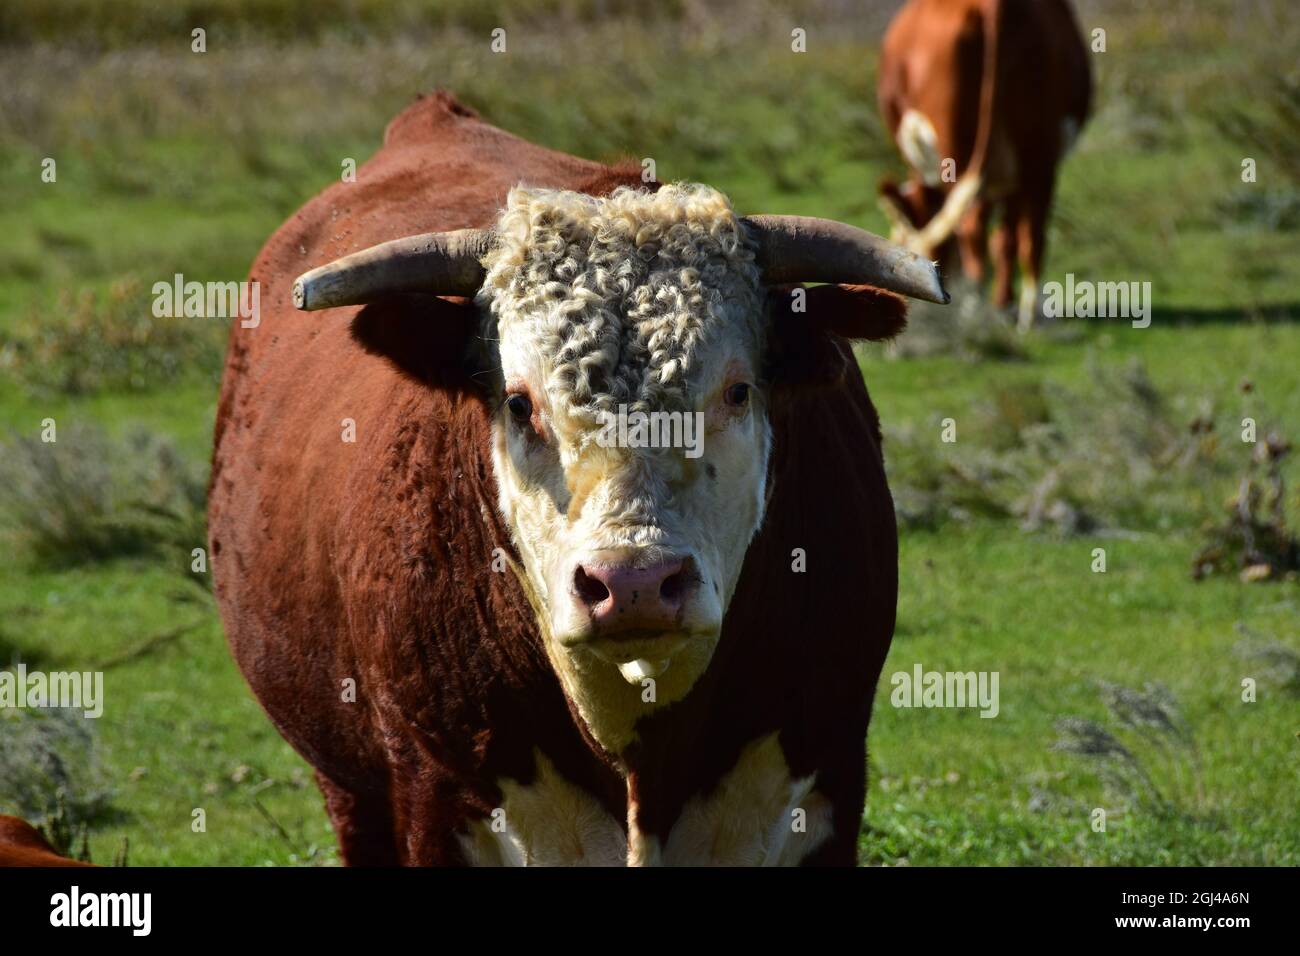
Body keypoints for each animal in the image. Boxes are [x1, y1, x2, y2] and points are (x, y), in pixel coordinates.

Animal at [877, 0, 1091, 330]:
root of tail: (992, 5)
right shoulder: (1011, 175)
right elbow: (1006, 238)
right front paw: (1003, 303)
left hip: (960, 149)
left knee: (972, 226)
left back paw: (973, 308)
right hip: (1038, 153)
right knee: (1032, 235)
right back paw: (1029, 314)